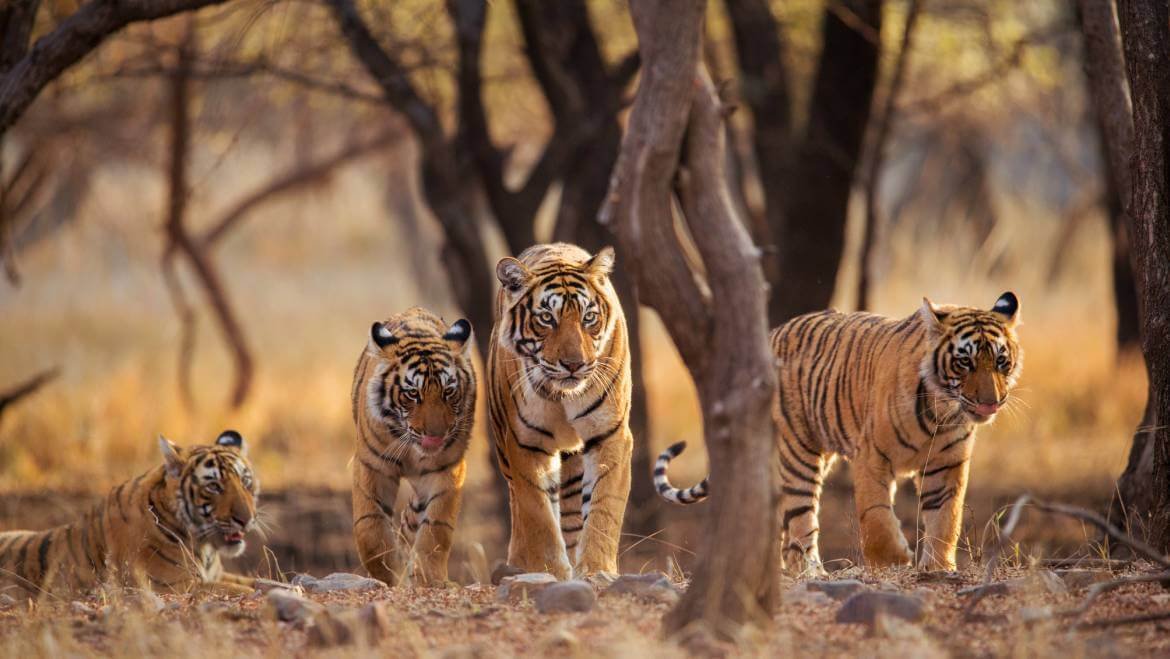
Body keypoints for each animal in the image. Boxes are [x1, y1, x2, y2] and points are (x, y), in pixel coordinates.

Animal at [0, 430, 259, 598]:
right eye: (214, 486)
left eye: (245, 482)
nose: (246, 520)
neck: (205, 548)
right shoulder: (172, 584)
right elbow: (244, 590)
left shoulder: (214, 575)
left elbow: (259, 581)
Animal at [350, 307, 475, 586]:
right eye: (412, 394)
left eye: (448, 392)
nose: (436, 436)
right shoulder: (372, 466)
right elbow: (370, 527)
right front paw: (388, 574)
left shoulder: (447, 470)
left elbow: (436, 528)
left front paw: (428, 579)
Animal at [488, 243, 632, 579]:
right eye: (546, 318)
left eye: (589, 317)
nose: (574, 364)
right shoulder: (526, 443)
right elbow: (537, 514)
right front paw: (548, 570)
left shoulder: (610, 434)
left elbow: (604, 509)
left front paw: (596, 570)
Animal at [656, 292, 1023, 574]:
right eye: (965, 362)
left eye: (1000, 362)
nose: (990, 402)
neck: (941, 411)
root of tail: (772, 333)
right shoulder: (872, 456)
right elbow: (875, 516)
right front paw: (893, 560)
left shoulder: (947, 465)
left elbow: (946, 518)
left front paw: (938, 567)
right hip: (798, 452)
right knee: (800, 520)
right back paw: (810, 572)